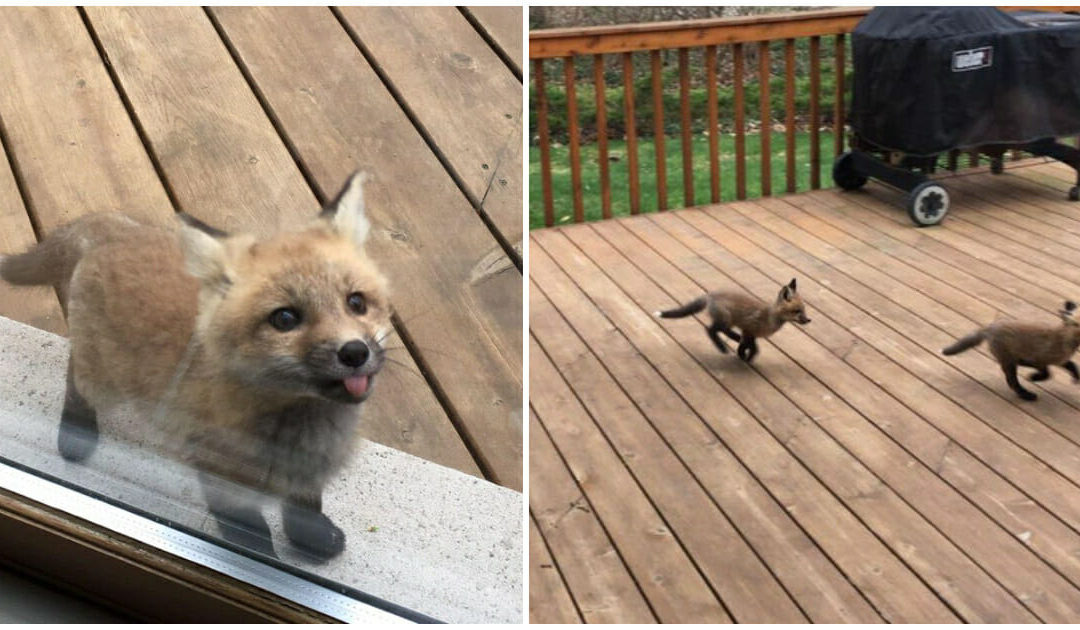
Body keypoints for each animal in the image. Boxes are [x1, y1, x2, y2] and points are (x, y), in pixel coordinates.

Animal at [0, 172, 390, 560]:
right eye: (285, 319)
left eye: (356, 302)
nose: (354, 353)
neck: (299, 431)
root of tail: (113, 230)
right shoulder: (222, 479)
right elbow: (254, 538)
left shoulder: (308, 473)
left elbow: (305, 508)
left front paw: (312, 538)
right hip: (105, 379)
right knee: (77, 380)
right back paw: (76, 432)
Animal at [655, 278, 811, 362]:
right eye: (797, 311)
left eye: (804, 310)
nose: (809, 320)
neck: (770, 317)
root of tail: (710, 295)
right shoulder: (749, 329)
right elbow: (753, 348)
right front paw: (745, 357)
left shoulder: (750, 333)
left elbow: (751, 347)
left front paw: (744, 355)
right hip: (725, 319)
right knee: (710, 330)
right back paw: (722, 347)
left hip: (727, 321)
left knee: (723, 331)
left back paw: (734, 338)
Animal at [942, 300, 1080, 401]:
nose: (1070, 302)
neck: (1064, 338)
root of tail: (989, 327)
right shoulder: (1038, 359)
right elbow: (1047, 373)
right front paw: (1034, 377)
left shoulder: (1060, 360)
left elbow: (1072, 365)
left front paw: (1076, 377)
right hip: (1008, 361)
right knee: (1012, 382)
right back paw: (1026, 395)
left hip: (1009, 360)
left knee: (1012, 378)